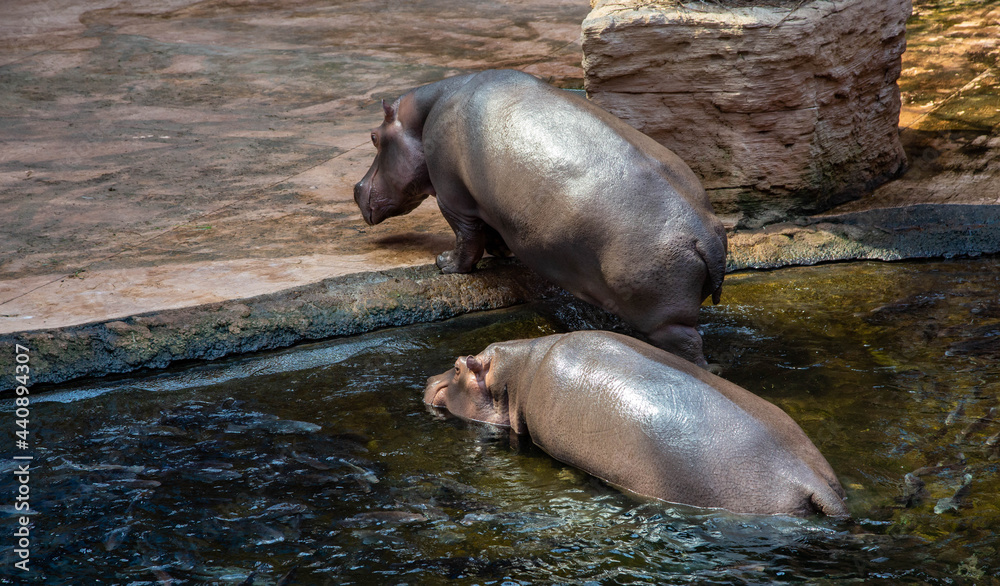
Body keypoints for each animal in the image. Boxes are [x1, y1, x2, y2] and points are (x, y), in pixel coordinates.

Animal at [354, 69, 727, 366]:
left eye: (373, 137)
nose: (357, 188)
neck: (423, 114)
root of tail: (704, 234)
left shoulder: (452, 198)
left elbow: (467, 238)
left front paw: (445, 264)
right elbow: (490, 230)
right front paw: (501, 252)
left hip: (666, 320)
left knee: (688, 345)